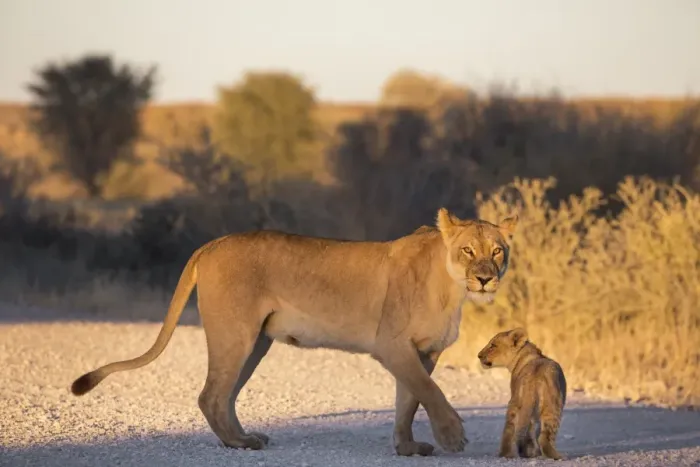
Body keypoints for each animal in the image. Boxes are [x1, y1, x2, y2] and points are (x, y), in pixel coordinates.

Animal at [70, 207, 518, 457]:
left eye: (498, 251)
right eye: (467, 250)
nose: (485, 279)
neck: (451, 288)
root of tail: (212, 243)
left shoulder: (424, 352)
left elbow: (409, 400)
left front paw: (407, 447)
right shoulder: (391, 346)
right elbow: (431, 393)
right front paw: (452, 437)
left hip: (257, 343)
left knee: (225, 394)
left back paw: (244, 436)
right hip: (235, 333)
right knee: (210, 394)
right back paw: (239, 445)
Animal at [477, 328, 567, 460]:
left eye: (493, 345)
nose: (478, 355)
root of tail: (533, 379)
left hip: (528, 404)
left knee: (514, 431)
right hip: (552, 406)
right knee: (540, 436)